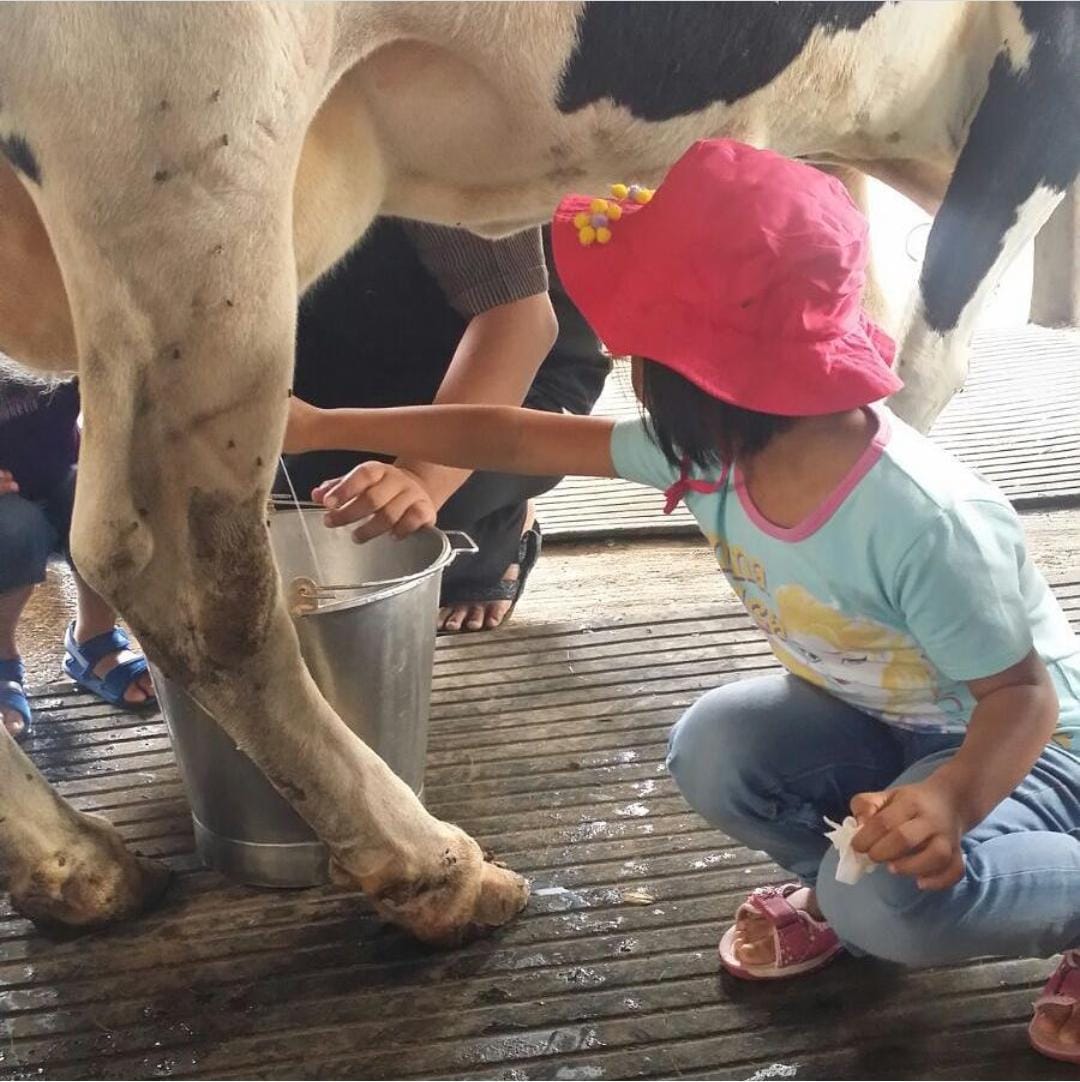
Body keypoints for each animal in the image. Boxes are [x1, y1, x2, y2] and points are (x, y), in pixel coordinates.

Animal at [0, 2, 1077, 947]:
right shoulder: (1032, 76)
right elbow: (914, 370)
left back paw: (82, 869)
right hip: (191, 158)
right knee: (176, 570)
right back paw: (432, 869)